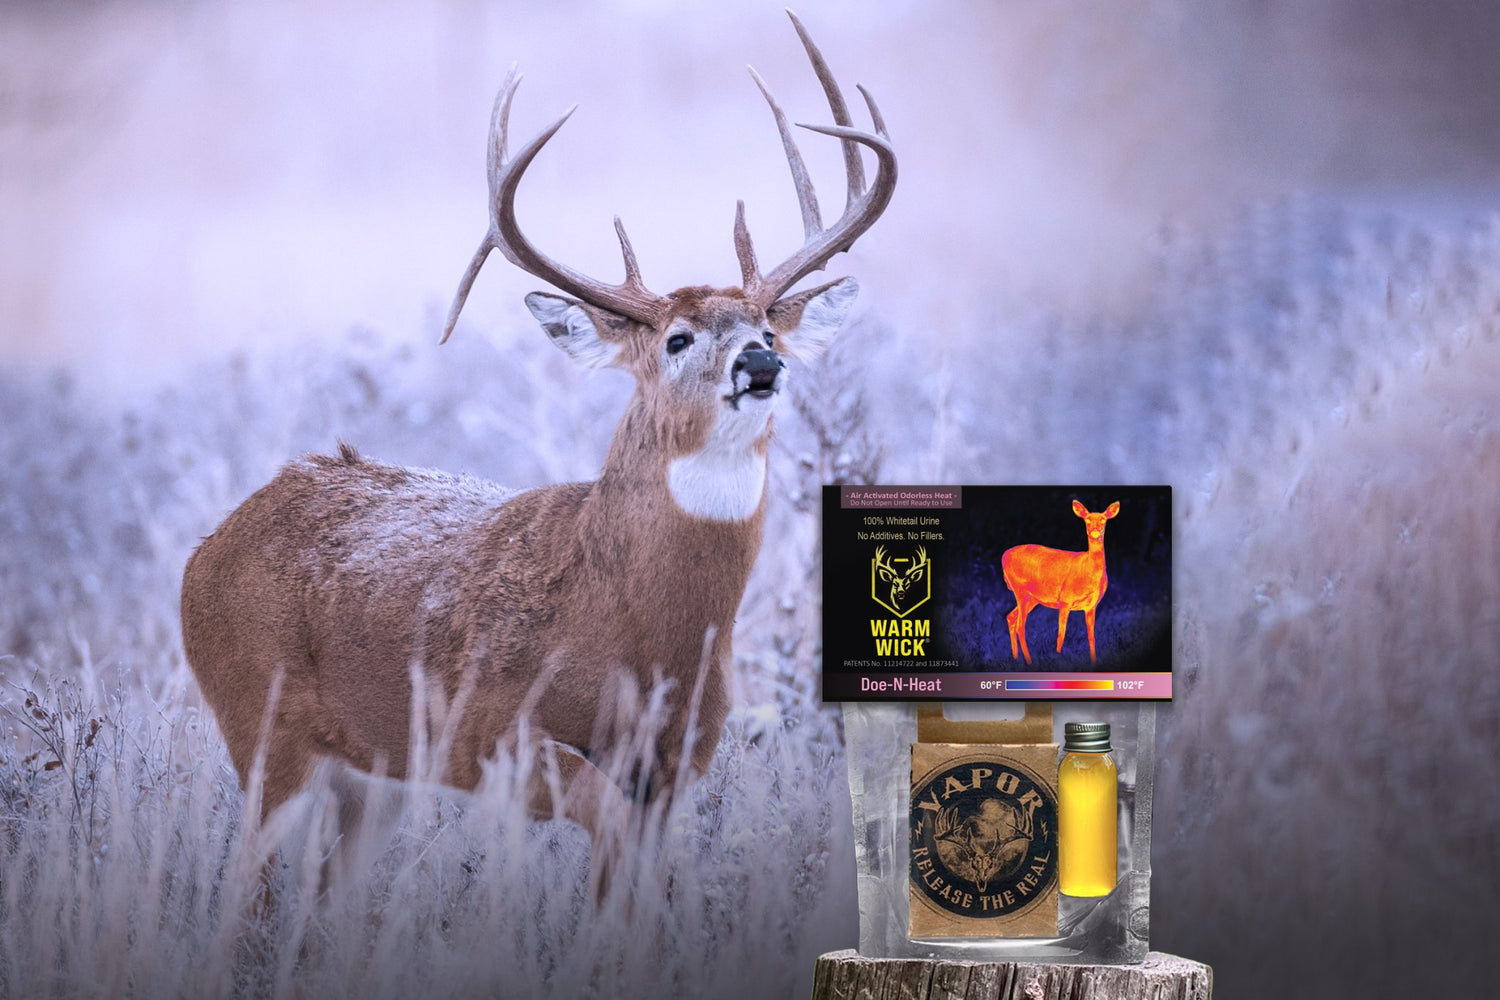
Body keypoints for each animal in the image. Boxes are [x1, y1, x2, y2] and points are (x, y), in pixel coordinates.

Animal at [179, 11, 895, 893]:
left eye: (765, 327)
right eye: (677, 338)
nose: (761, 365)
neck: (631, 621)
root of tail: (207, 549)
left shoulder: (673, 764)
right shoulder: (487, 731)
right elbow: (603, 827)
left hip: (367, 777)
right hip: (263, 728)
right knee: (242, 889)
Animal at [1002, 501, 1120, 665]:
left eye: (1103, 519)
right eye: (1087, 520)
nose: (1095, 531)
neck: (1089, 572)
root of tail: (1003, 556)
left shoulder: (1091, 606)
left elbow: (1091, 636)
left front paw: (1094, 662)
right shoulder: (1065, 599)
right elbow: (1061, 635)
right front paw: (1058, 659)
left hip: (1032, 598)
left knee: (1011, 617)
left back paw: (1015, 658)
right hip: (1020, 589)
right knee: (1021, 626)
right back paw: (1029, 661)